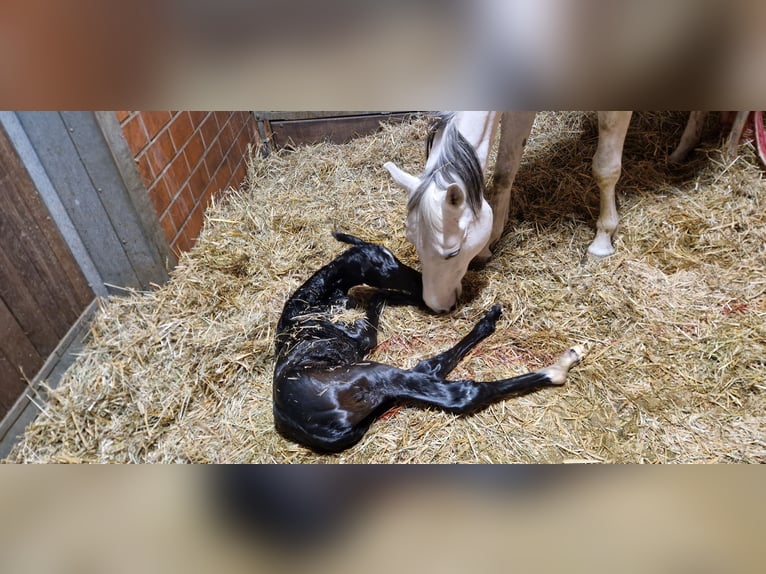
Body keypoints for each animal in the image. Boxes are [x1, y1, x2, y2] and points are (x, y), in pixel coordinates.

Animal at [272, 232, 584, 453]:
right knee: (459, 392)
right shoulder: (361, 338)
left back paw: (490, 320)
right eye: (385, 266)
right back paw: (559, 366)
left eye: (393, 258)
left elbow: (379, 298)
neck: (316, 297)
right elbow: (375, 304)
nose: (419, 282)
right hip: (372, 373)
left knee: (428, 368)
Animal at [384, 111, 707, 312]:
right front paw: (490, 243)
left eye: (452, 253)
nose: (436, 305)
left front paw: (602, 240)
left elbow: (605, 168)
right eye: (414, 243)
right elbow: (505, 170)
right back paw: (681, 153)